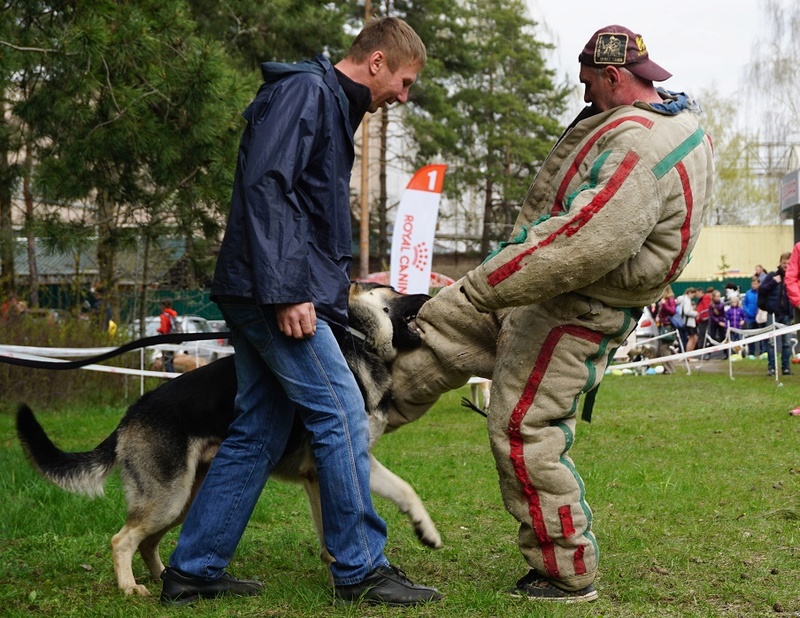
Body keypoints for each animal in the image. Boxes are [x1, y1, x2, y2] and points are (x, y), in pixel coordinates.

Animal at [15, 282, 440, 596]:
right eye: (394, 289)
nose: (429, 294)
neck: (357, 339)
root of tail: (131, 415)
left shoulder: (333, 468)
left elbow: (401, 491)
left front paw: (424, 532)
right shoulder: (335, 461)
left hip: (184, 501)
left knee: (147, 542)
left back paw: (167, 578)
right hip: (169, 500)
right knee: (122, 540)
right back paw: (130, 588)